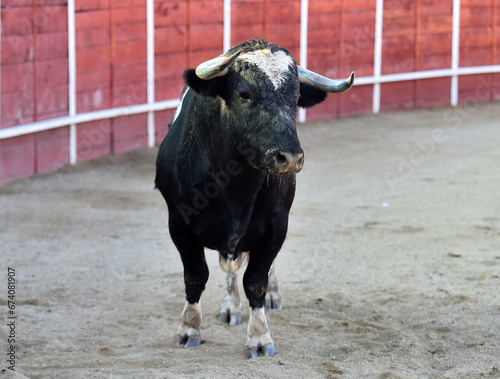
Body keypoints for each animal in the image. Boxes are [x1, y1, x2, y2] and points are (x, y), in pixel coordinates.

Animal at [154, 38, 354, 360]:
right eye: (244, 93)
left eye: (296, 97)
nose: (289, 157)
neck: (236, 187)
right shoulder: (179, 222)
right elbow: (195, 276)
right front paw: (188, 329)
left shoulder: (277, 224)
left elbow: (256, 280)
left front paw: (259, 338)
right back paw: (230, 307)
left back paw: (270, 296)